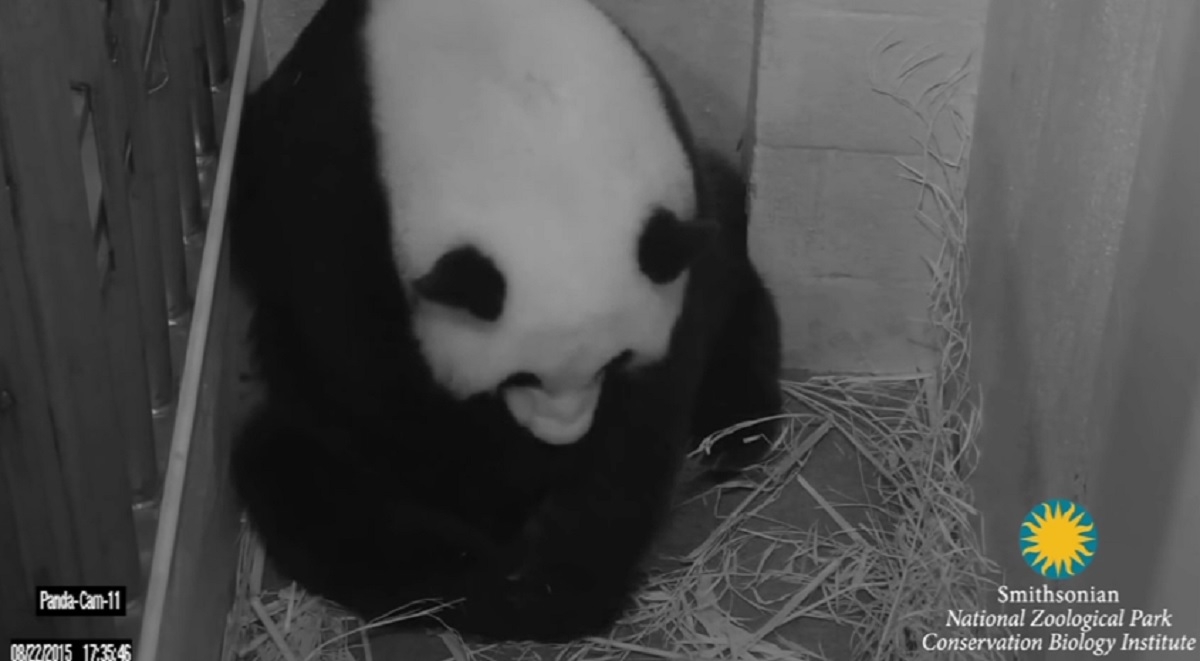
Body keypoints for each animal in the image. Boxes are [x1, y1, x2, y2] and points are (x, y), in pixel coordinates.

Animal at [228, 0, 783, 644]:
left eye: (614, 360)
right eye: (521, 377)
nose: (563, 434)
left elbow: (645, 415)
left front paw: (569, 560)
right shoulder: (344, 204)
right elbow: (381, 391)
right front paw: (508, 533)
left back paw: (737, 429)